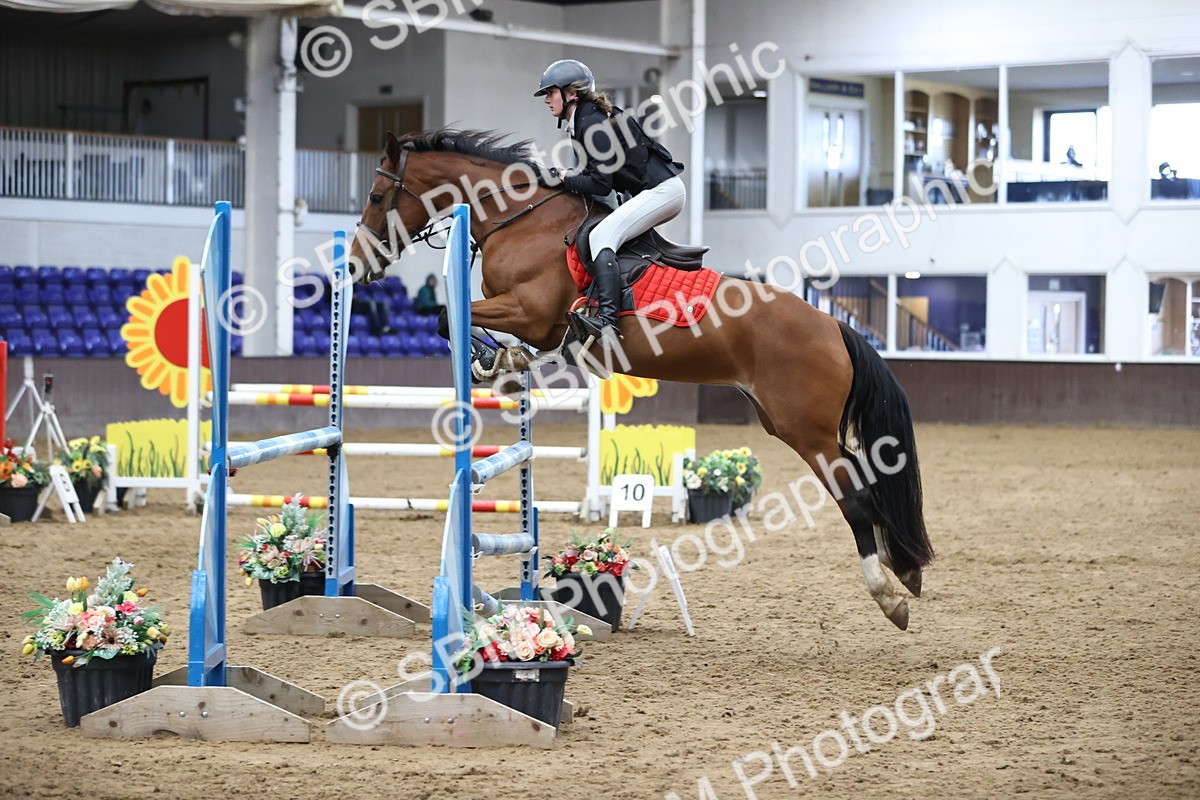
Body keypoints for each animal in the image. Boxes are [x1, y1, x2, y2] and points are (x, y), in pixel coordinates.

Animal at [348, 129, 933, 630]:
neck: (519, 219)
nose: (355, 267)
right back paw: (904, 569)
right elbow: (457, 319)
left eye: (376, 195)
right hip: (790, 423)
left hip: (806, 432)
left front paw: (494, 359)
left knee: (856, 499)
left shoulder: (532, 312)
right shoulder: (533, 321)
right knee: (870, 485)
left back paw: (889, 595)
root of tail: (832, 324)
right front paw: (504, 361)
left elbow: (448, 314)